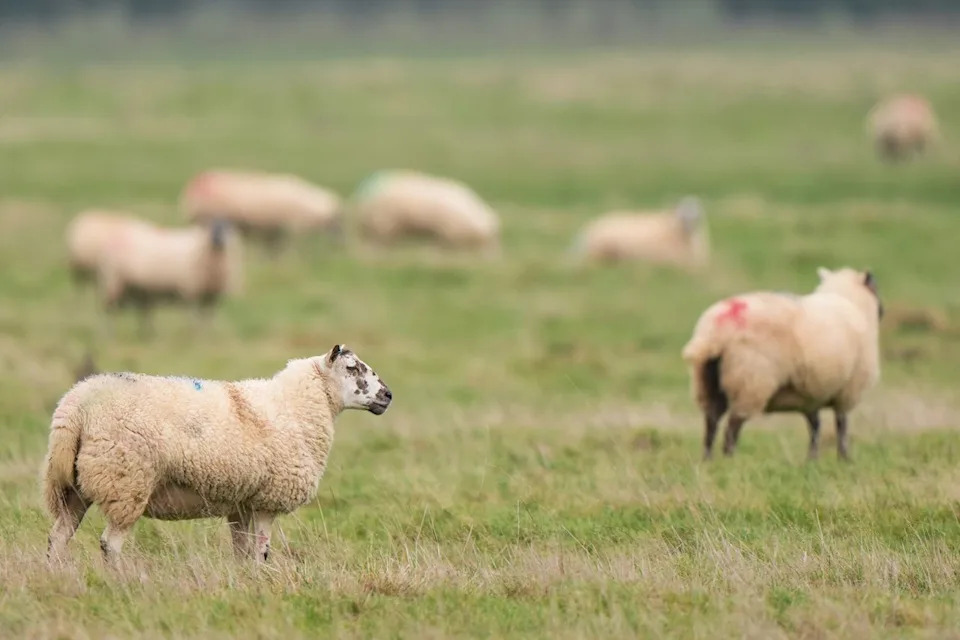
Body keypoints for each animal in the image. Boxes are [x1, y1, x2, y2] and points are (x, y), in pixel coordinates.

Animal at [43, 344, 392, 566]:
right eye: (352, 368)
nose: (388, 395)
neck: (294, 406)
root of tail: (74, 407)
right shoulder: (267, 501)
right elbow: (261, 553)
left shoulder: (242, 504)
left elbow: (242, 553)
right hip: (126, 482)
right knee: (109, 544)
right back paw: (122, 584)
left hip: (73, 486)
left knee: (57, 538)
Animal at [96, 218, 243, 337]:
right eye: (212, 226)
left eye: (228, 227)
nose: (219, 240)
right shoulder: (191, 290)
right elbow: (194, 315)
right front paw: (195, 335)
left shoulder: (211, 295)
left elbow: (208, 316)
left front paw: (208, 334)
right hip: (112, 282)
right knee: (109, 311)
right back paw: (109, 335)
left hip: (136, 289)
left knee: (142, 313)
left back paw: (148, 334)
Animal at [180, 169, 343, 255]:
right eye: (337, 221)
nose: (341, 245)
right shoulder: (291, 230)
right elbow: (290, 250)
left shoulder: (278, 232)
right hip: (204, 220)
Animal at [681, 267, 883, 462]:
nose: (882, 311)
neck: (851, 301)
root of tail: (716, 330)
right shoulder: (848, 391)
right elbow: (841, 425)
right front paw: (844, 458)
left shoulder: (810, 396)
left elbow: (815, 426)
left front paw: (812, 459)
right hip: (750, 380)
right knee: (732, 427)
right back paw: (730, 461)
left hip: (706, 381)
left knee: (711, 423)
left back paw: (708, 460)